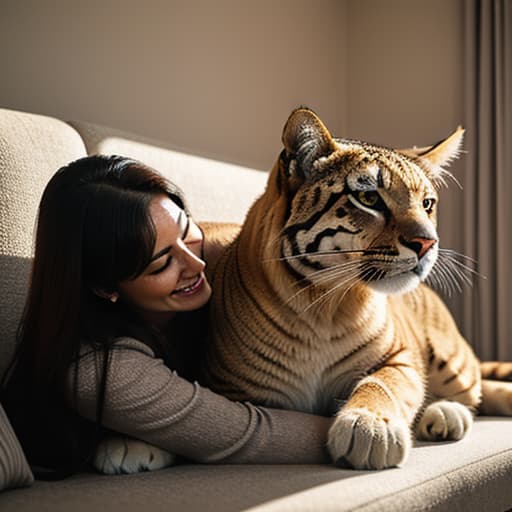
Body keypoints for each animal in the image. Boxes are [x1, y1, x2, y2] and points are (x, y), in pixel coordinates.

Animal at [204, 107, 512, 468]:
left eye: (427, 203)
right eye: (368, 197)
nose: (428, 243)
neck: (323, 304)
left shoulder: (400, 357)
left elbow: (384, 382)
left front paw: (368, 427)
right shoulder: (236, 391)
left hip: (453, 362)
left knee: (473, 392)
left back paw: (446, 414)